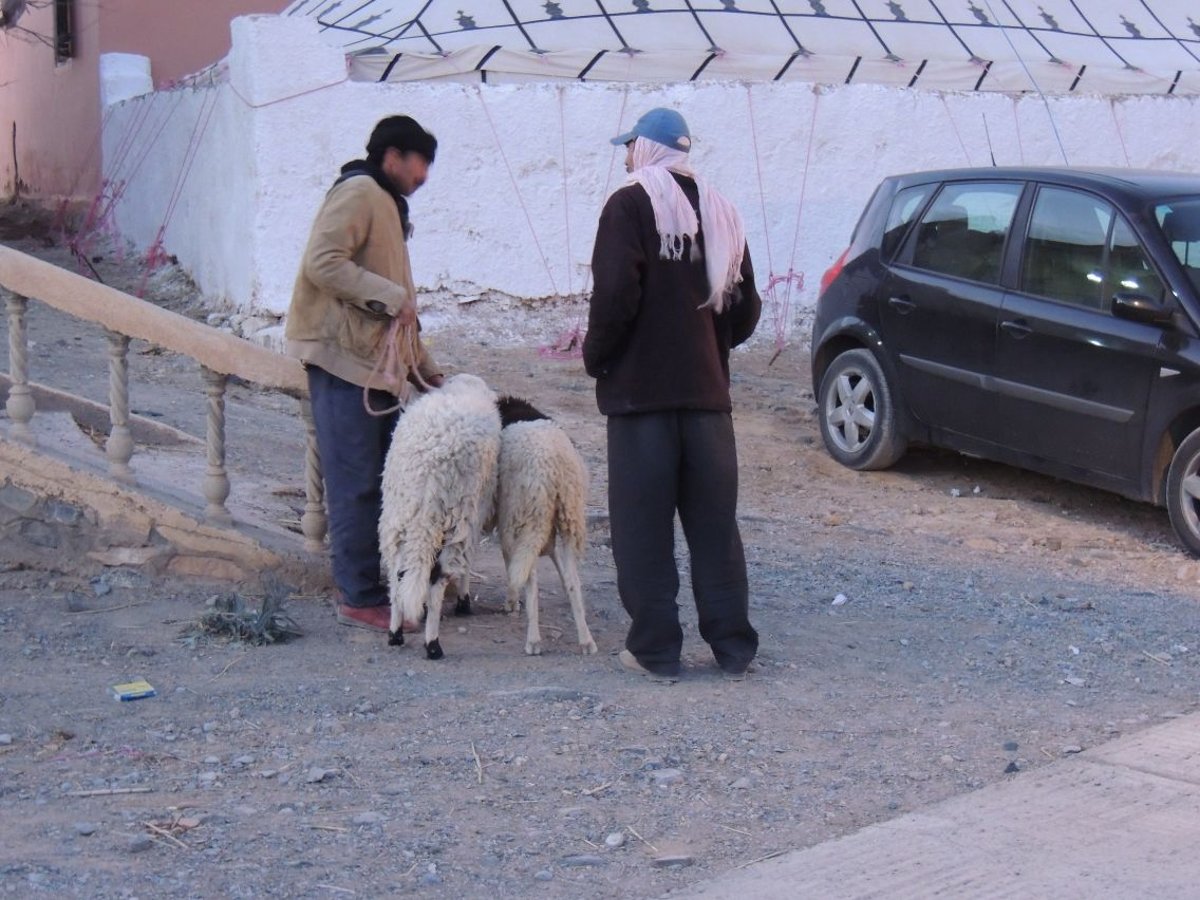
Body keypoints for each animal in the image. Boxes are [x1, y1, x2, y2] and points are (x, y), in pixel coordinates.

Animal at [379, 374, 501, 662]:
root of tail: (428, 465)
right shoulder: (474, 518)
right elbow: (468, 563)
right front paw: (464, 600)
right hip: (455, 516)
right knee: (438, 578)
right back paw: (433, 643)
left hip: (399, 515)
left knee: (398, 573)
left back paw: (395, 632)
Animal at [494, 398, 597, 657]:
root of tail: (554, 466)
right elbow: (554, 557)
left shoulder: (508, 520)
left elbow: (512, 562)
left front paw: (511, 602)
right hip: (570, 517)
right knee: (573, 580)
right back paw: (586, 640)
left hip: (528, 517)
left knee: (531, 578)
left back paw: (533, 640)